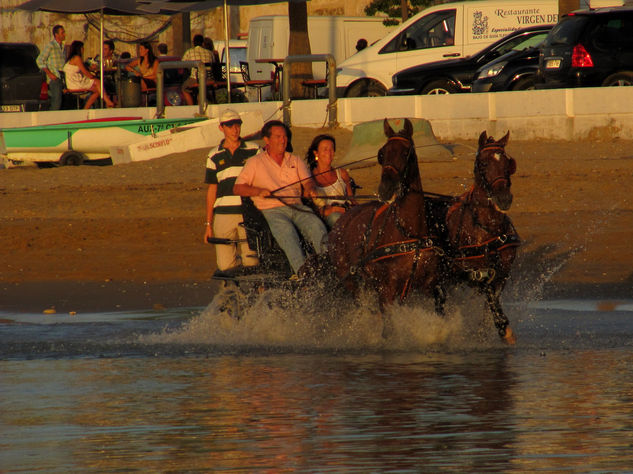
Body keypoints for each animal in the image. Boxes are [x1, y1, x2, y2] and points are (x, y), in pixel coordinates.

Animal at [326, 118, 444, 326]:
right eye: (381, 154)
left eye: (407, 153)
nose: (385, 189)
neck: (409, 232)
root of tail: (341, 221)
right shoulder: (387, 290)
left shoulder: (430, 285)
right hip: (350, 280)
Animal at [442, 131, 520, 344]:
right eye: (483, 163)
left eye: (508, 163)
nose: (504, 198)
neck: (488, 228)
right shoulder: (477, 271)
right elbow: (490, 296)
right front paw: (503, 327)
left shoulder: (502, 272)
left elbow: (492, 301)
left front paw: (490, 331)